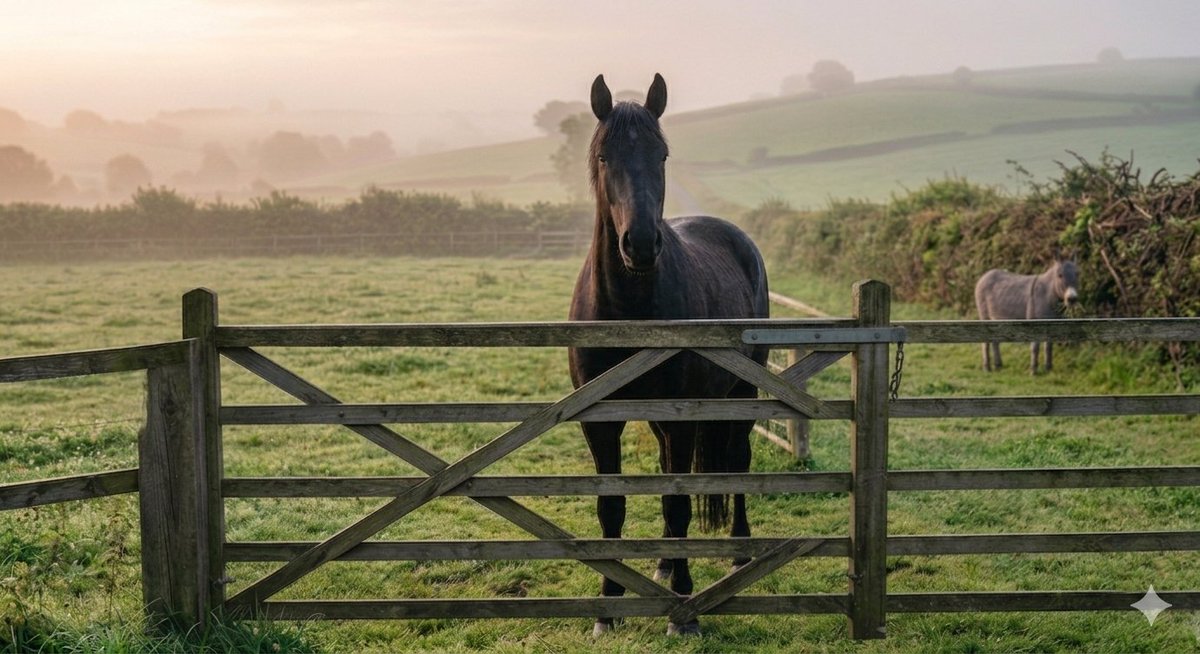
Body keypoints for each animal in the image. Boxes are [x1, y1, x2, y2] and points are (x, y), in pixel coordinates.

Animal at [567, 73, 770, 638]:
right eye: (605, 156)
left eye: (660, 155)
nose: (639, 244)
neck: (628, 310)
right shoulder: (600, 420)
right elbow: (612, 507)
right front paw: (608, 605)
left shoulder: (683, 417)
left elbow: (679, 503)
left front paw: (683, 608)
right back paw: (660, 563)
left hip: (743, 393)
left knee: (737, 462)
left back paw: (738, 552)